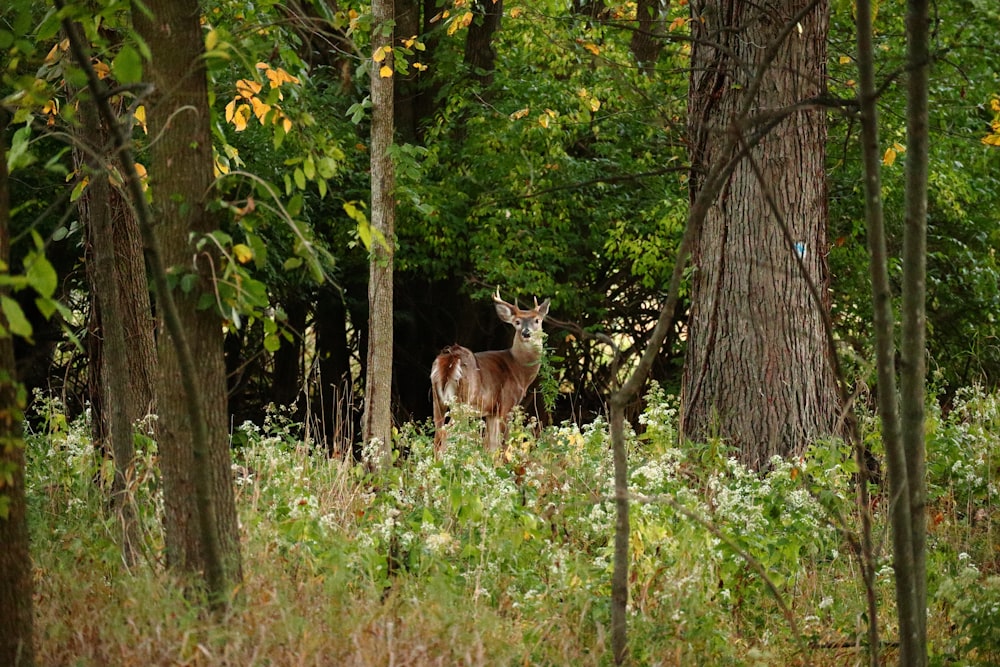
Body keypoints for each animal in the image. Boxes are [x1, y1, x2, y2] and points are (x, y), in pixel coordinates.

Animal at [430, 290, 552, 454]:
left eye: (537, 320)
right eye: (517, 322)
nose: (526, 333)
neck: (519, 369)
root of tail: (451, 357)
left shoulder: (491, 411)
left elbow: (491, 445)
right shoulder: (507, 404)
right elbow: (503, 444)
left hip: (437, 400)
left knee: (437, 434)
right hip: (462, 401)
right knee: (446, 432)